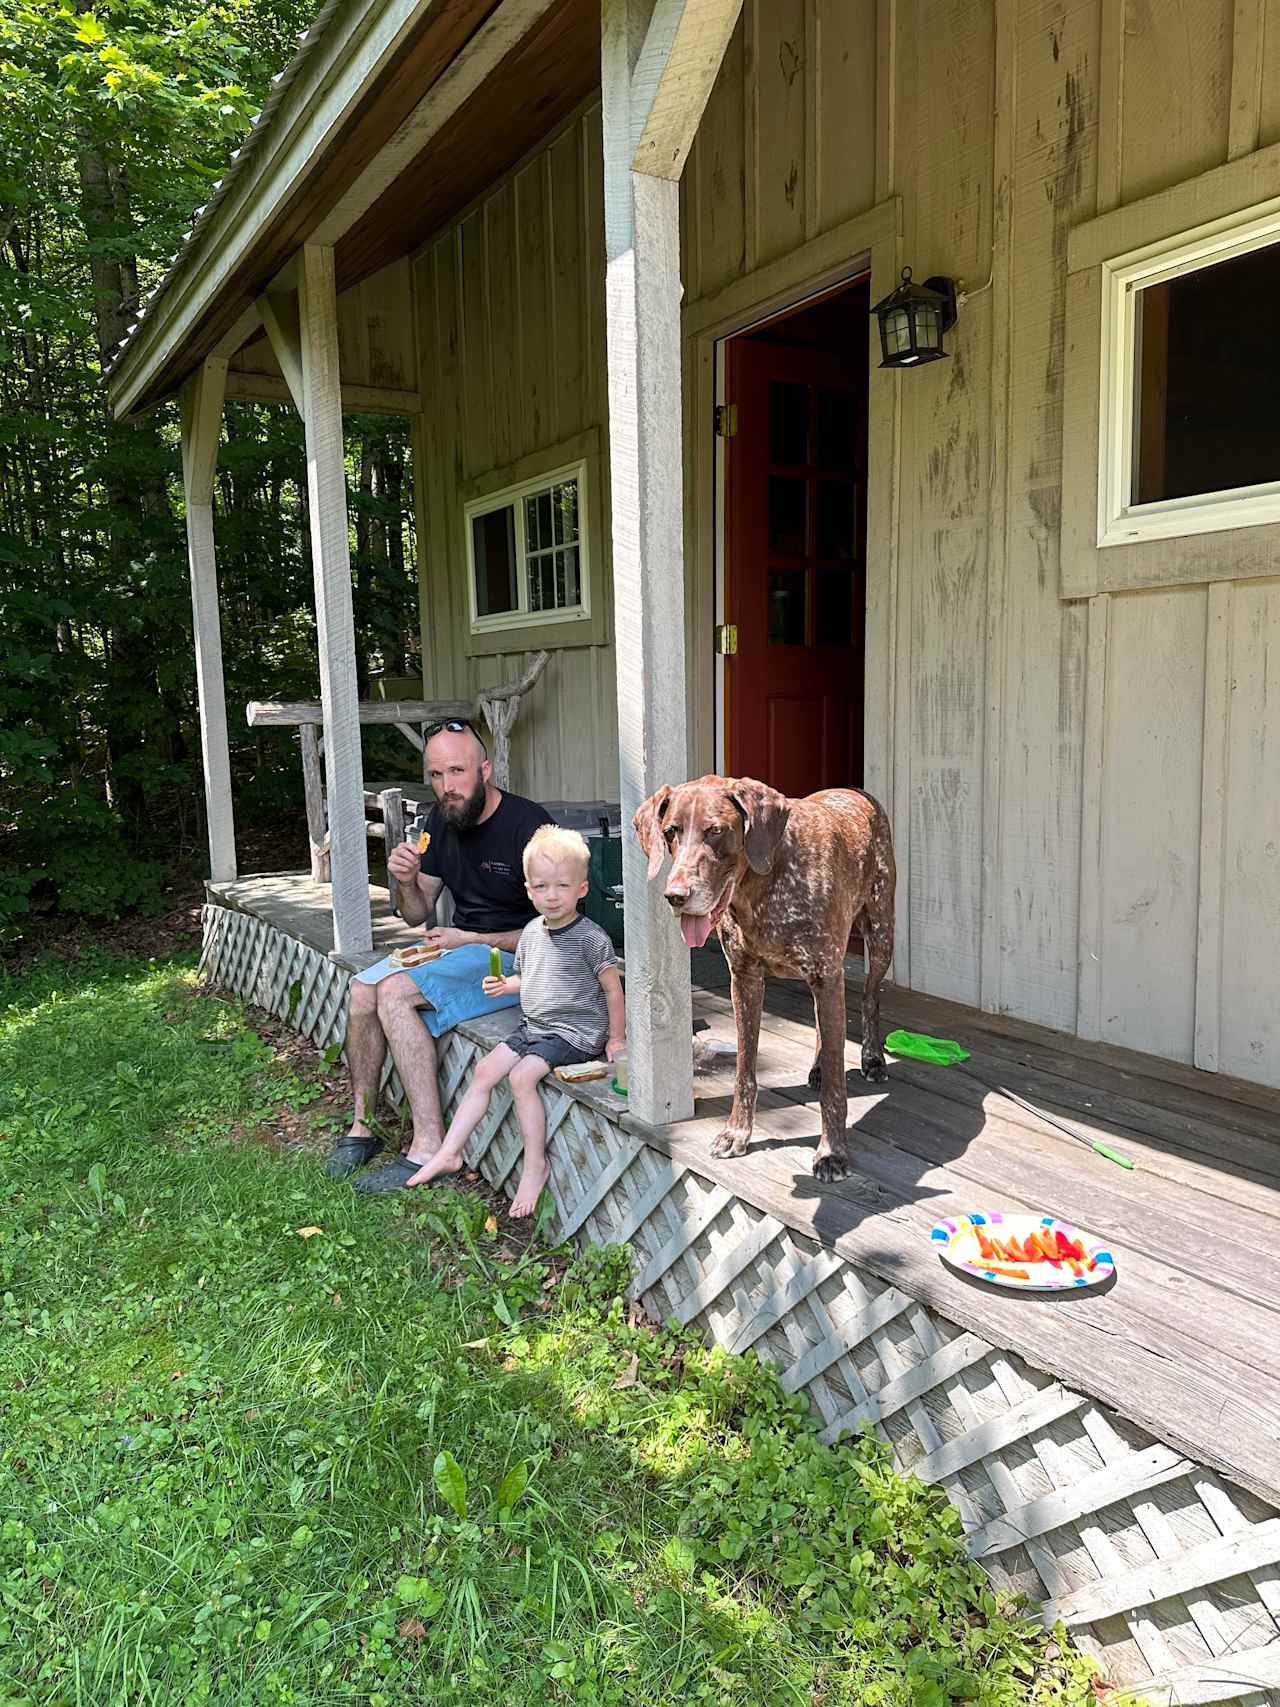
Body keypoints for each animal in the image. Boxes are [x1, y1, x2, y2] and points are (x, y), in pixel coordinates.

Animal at [638, 781, 894, 1181]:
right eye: (670, 832)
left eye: (715, 831)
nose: (675, 897)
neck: (762, 885)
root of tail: (855, 790)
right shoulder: (745, 980)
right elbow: (745, 1070)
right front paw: (736, 1133)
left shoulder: (826, 975)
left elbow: (836, 1090)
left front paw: (832, 1152)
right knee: (823, 1026)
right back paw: (818, 1067)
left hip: (880, 934)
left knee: (869, 999)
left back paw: (873, 1059)